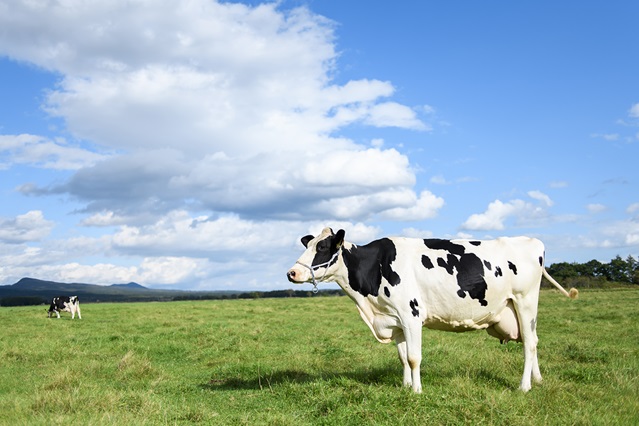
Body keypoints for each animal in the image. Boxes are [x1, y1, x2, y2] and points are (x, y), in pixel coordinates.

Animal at [286, 226, 580, 392]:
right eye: (308, 245)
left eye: (323, 247)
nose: (292, 273)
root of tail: (532, 241)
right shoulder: (395, 320)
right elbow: (402, 357)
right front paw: (405, 386)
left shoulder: (411, 315)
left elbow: (414, 357)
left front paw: (417, 391)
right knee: (534, 341)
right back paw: (538, 380)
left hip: (525, 301)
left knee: (529, 344)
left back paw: (524, 386)